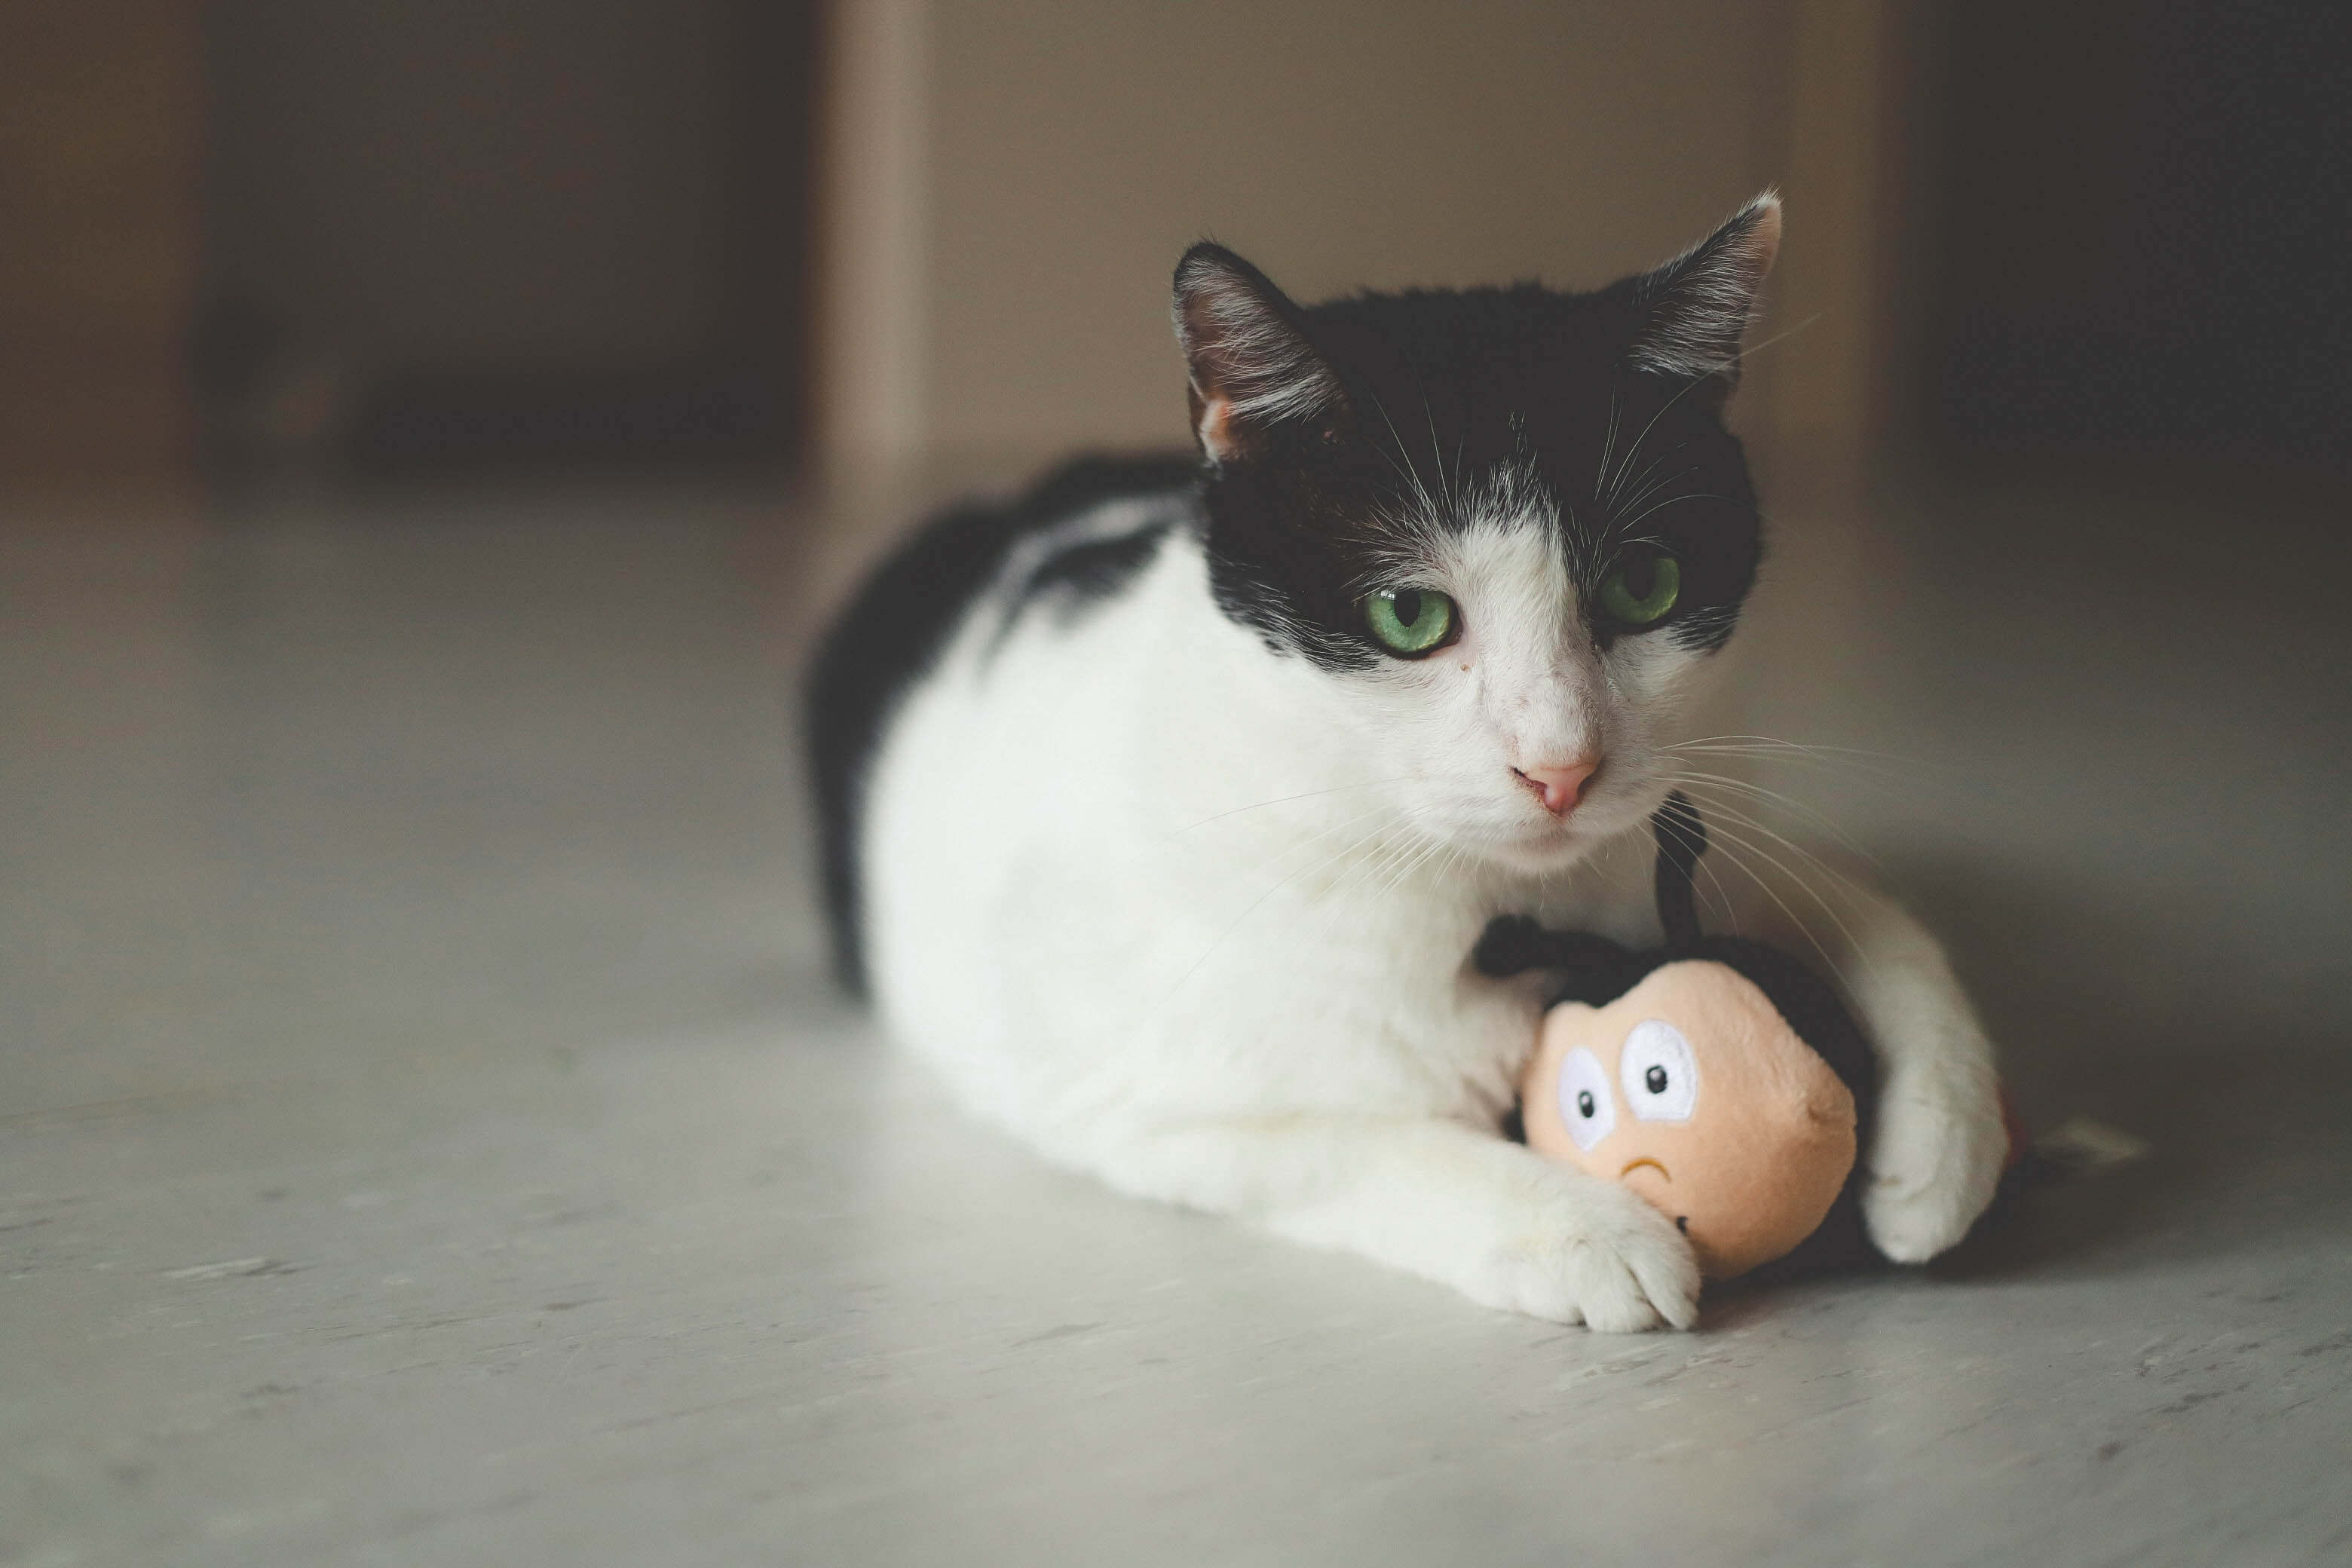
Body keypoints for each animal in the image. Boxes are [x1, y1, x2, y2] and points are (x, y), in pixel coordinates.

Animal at [809, 190, 2004, 1335]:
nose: (1560, 767)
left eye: (1643, 586)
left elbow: (1875, 919)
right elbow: (1365, 1143)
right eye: (1410, 614)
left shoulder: (1703, 824)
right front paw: (1583, 1230)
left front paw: (1944, 1136)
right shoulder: (1148, 1105)